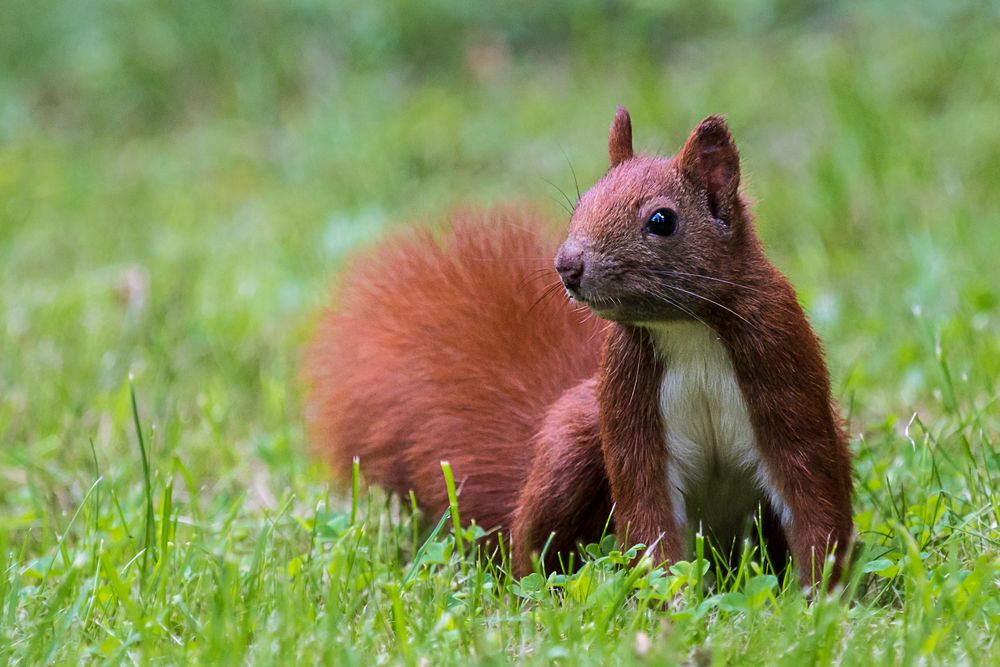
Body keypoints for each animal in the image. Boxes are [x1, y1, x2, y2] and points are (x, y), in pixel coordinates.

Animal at [304, 107, 852, 588]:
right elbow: (648, 513)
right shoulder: (627, 402)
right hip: (575, 437)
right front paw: (671, 603)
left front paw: (819, 598)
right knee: (531, 546)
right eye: (583, 201)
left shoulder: (782, 367)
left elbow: (813, 499)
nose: (566, 265)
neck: (687, 331)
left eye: (661, 220)